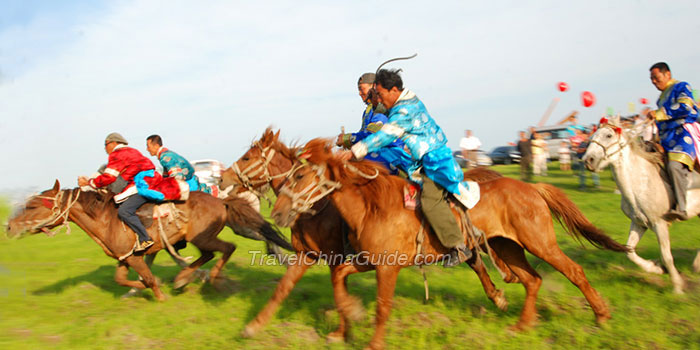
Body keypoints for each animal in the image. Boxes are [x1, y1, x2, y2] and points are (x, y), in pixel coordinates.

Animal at [5, 180, 292, 300]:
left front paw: (158, 295)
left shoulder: (136, 257)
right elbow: (121, 279)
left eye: (33, 206)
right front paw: (138, 289)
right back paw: (183, 278)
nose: (8, 226)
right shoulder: (126, 258)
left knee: (227, 248)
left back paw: (208, 278)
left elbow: (149, 278)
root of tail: (220, 200)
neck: (106, 218)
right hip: (200, 239)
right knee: (210, 254)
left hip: (205, 237)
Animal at [220, 128, 508, 342]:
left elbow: (339, 291)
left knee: (477, 260)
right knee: (476, 261)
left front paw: (344, 327)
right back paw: (498, 296)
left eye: (246, 158)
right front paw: (253, 326)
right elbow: (283, 289)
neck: (317, 209)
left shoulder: (337, 258)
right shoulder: (306, 255)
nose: (222, 179)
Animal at [270, 139, 628, 350]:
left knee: (573, 271)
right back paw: (522, 325)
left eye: (299, 176)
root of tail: (532, 188)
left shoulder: (387, 267)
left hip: (540, 244)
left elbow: (383, 306)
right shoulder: (368, 260)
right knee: (533, 280)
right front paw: (348, 317)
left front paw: (371, 342)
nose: (277, 213)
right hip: (508, 247)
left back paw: (601, 316)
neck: (372, 206)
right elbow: (340, 275)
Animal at [580, 117, 700, 292]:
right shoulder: (639, 223)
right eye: (592, 136)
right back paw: (696, 265)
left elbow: (666, 256)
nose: (588, 160)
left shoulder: (659, 224)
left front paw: (677, 286)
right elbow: (629, 252)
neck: (640, 181)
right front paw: (656, 268)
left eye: (609, 135)